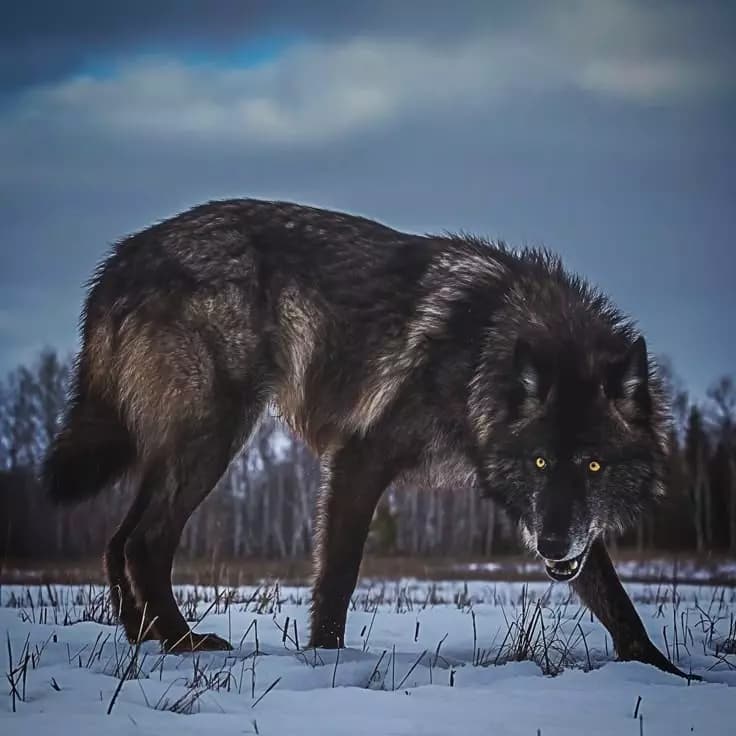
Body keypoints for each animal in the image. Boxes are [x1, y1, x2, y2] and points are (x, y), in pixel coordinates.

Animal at [43, 198, 688, 677]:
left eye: (594, 466)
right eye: (538, 462)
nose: (551, 548)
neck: (485, 353)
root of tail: (121, 258)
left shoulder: (566, 526)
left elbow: (616, 599)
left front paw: (666, 674)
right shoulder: (359, 458)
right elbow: (339, 576)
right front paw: (327, 662)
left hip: (175, 453)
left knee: (117, 541)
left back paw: (141, 638)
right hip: (212, 441)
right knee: (146, 542)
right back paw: (182, 645)